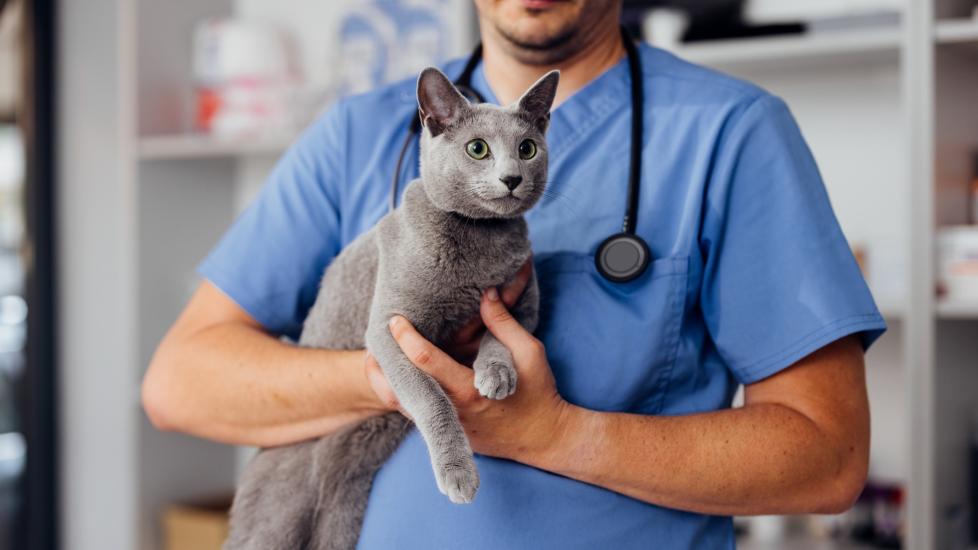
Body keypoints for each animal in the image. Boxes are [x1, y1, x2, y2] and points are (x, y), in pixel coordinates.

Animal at [223, 67, 556, 548]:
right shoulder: (390, 328)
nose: (511, 177)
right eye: (477, 149)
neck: (481, 245)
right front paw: (459, 474)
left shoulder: (523, 304)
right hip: (277, 515)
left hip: (343, 505)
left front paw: (495, 373)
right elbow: (431, 397)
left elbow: (501, 332)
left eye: (527, 149)